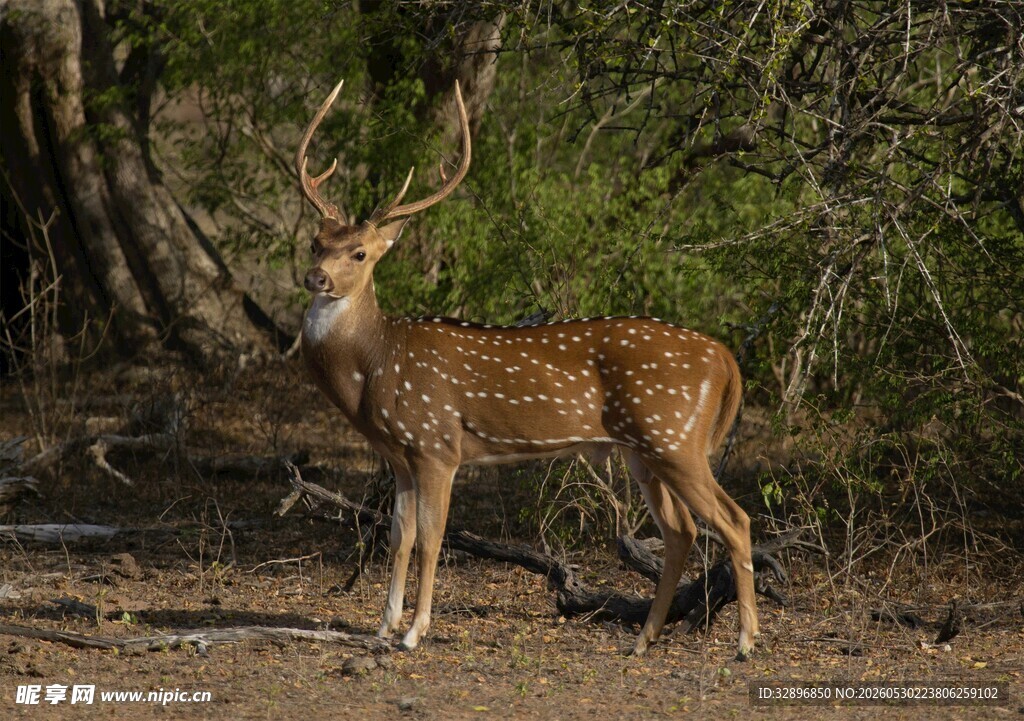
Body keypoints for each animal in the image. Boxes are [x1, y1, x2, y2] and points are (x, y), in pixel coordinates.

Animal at [294, 79, 759, 660]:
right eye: (316, 243)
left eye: (359, 253)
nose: (316, 277)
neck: (377, 366)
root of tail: (725, 358)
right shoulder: (399, 455)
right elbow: (398, 535)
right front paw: (383, 625)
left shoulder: (437, 443)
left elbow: (432, 539)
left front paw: (413, 632)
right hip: (645, 450)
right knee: (682, 532)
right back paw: (643, 640)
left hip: (674, 438)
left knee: (735, 521)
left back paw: (744, 642)